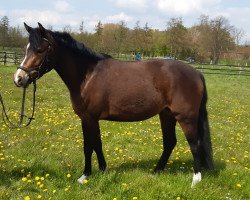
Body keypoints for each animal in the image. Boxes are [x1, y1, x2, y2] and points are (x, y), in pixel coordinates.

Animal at [13, 23, 213, 188]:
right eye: (26, 49)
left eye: (40, 50)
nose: (19, 78)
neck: (87, 75)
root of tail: (196, 73)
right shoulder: (90, 119)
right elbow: (97, 144)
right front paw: (102, 170)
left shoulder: (89, 118)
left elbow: (88, 146)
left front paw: (85, 175)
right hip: (166, 115)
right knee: (170, 142)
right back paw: (156, 172)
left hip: (185, 117)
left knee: (195, 144)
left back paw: (195, 180)